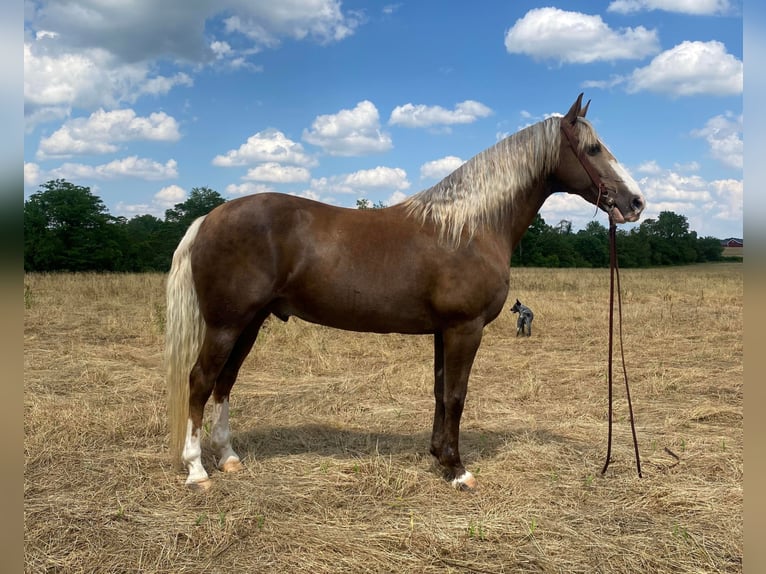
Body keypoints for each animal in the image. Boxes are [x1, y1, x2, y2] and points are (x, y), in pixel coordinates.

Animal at [168, 94, 648, 490]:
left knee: (224, 382)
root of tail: (209, 218)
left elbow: (439, 391)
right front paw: (457, 470)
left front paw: (437, 456)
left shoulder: (442, 331)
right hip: (226, 324)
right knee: (200, 380)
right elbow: (456, 395)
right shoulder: (464, 328)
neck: (470, 227)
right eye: (593, 149)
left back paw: (229, 458)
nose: (636, 202)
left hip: (248, 323)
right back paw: (197, 470)